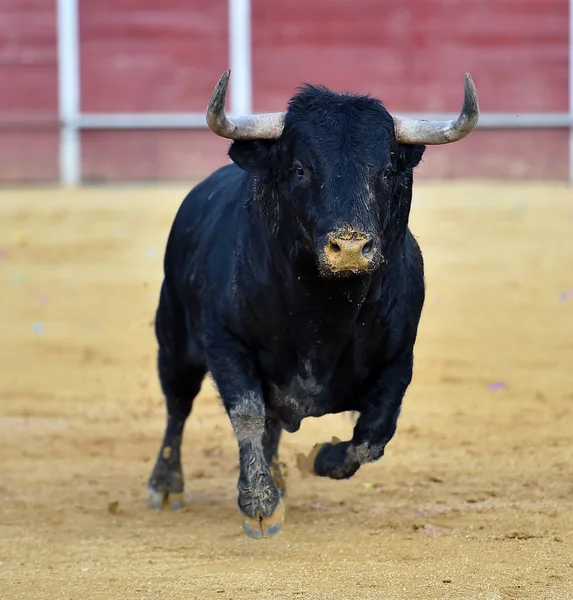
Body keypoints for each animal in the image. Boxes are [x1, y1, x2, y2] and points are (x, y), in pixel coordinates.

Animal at [145, 70, 476, 540]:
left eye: (388, 170)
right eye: (300, 168)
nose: (351, 248)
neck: (323, 311)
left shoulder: (399, 359)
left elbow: (374, 433)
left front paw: (319, 458)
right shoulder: (226, 342)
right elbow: (246, 413)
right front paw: (260, 506)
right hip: (173, 340)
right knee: (178, 407)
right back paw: (166, 486)